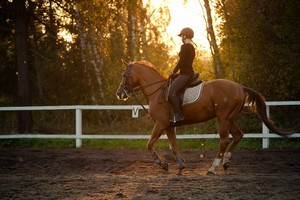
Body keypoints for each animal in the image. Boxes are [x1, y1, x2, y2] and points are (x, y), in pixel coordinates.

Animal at [115, 59, 290, 175]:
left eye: (124, 75)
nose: (119, 94)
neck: (157, 91)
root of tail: (240, 87)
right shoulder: (169, 126)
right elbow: (174, 146)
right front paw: (180, 167)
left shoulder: (160, 124)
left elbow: (149, 144)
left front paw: (163, 164)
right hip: (229, 119)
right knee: (238, 135)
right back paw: (226, 162)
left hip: (223, 119)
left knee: (224, 140)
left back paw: (213, 168)